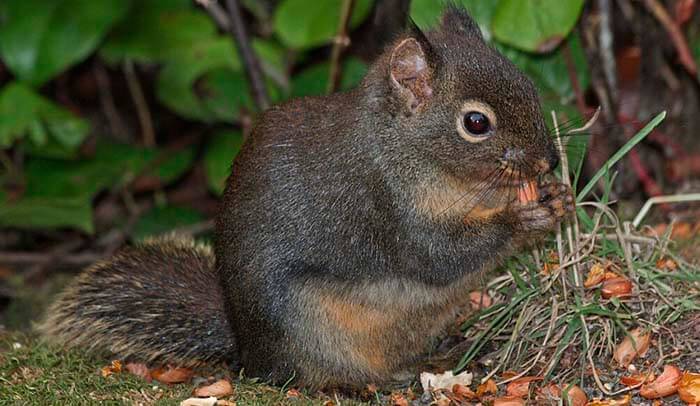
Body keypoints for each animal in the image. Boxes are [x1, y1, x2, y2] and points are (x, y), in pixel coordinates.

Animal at [40, 7, 574, 389]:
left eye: (527, 83)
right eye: (476, 123)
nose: (548, 160)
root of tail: (247, 351)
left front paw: (559, 197)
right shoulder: (384, 205)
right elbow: (439, 256)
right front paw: (522, 217)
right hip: (306, 328)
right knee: (311, 376)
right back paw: (370, 382)